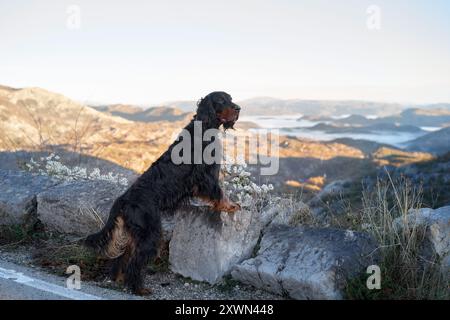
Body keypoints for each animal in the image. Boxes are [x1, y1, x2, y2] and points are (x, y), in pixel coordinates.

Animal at [83, 91, 241, 294]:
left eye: (231, 99)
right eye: (221, 100)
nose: (238, 108)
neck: (204, 127)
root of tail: (123, 200)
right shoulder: (207, 175)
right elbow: (219, 192)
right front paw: (229, 205)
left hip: (137, 232)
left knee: (124, 256)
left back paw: (119, 279)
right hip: (150, 231)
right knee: (136, 261)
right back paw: (139, 289)